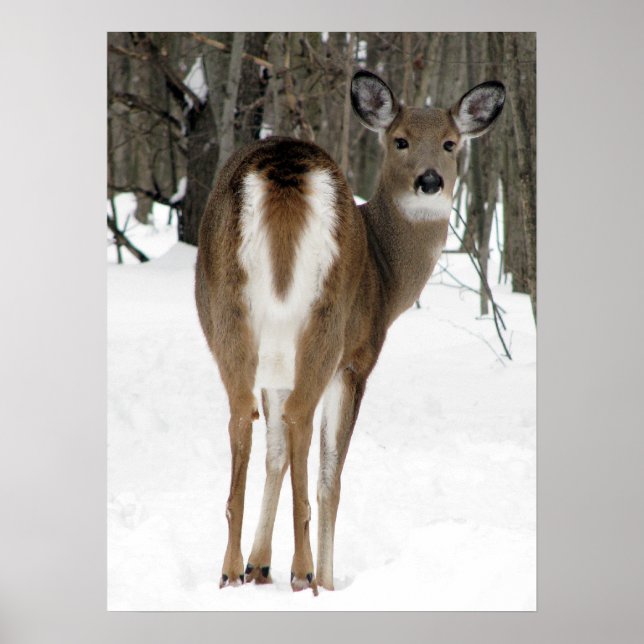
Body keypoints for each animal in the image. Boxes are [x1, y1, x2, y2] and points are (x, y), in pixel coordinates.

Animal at [195, 70, 505, 595]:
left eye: (450, 143)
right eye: (400, 140)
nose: (430, 180)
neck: (387, 275)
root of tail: (286, 170)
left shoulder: (275, 365)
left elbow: (275, 454)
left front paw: (260, 564)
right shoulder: (358, 359)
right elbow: (330, 477)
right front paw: (323, 576)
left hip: (227, 317)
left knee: (241, 417)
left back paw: (230, 569)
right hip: (327, 321)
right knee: (302, 425)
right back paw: (304, 574)